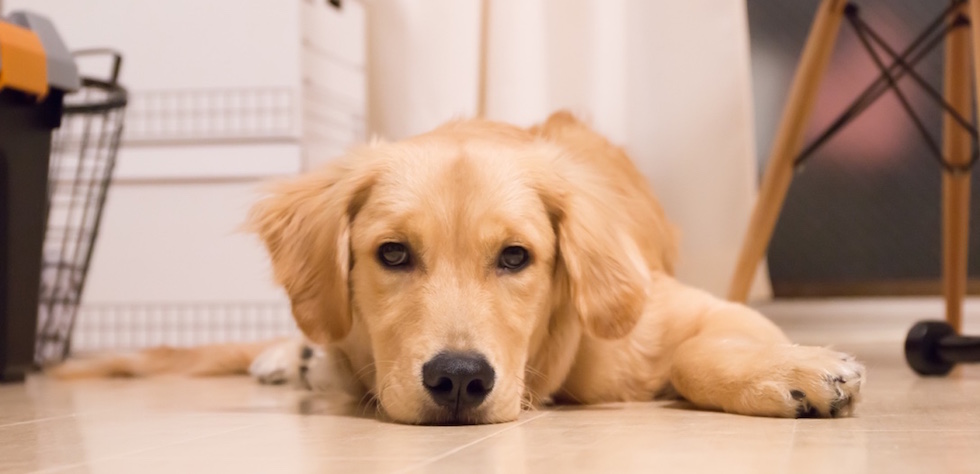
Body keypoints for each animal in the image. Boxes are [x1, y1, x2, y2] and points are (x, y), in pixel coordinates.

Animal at [55, 112, 864, 426]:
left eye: (516, 257)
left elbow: (701, 352)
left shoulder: (693, 310)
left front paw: (797, 369)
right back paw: (289, 358)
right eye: (392, 254)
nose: (458, 381)